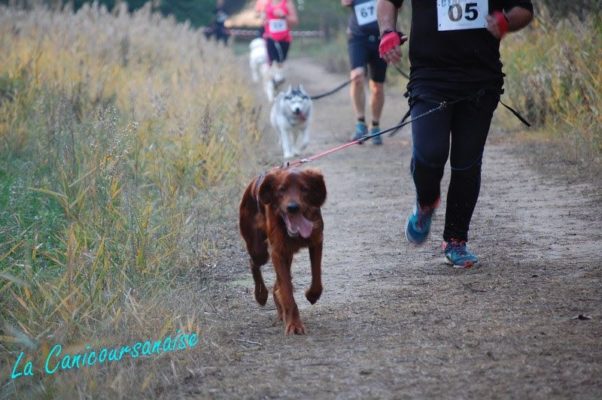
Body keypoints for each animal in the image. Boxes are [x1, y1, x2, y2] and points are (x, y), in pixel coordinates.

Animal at [238, 166, 326, 334]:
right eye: (281, 189)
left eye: (304, 189)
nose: (293, 207)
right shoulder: (277, 252)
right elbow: (287, 291)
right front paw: (294, 324)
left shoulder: (316, 241)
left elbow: (316, 276)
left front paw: (312, 295)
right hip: (259, 250)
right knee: (253, 262)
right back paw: (261, 294)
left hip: (287, 253)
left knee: (276, 284)